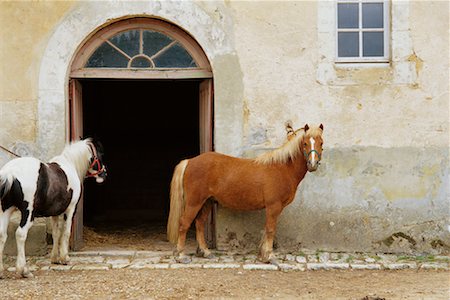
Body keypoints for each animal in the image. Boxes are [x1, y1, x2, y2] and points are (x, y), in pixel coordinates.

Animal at [0, 139, 106, 278]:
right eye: (100, 155)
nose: (104, 174)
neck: (70, 164)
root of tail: (10, 172)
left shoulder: (54, 213)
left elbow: (56, 233)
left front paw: (55, 258)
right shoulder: (70, 210)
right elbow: (66, 232)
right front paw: (65, 258)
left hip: (6, 210)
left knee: (2, 234)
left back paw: (1, 271)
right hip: (27, 213)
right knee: (20, 234)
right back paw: (24, 270)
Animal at [166, 122, 324, 262]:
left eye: (321, 143)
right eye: (305, 143)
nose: (313, 164)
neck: (282, 168)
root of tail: (190, 161)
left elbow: (266, 229)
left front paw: (262, 255)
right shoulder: (273, 206)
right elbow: (270, 230)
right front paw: (269, 256)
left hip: (207, 202)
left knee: (199, 224)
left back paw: (206, 252)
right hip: (194, 202)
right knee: (184, 224)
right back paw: (181, 255)